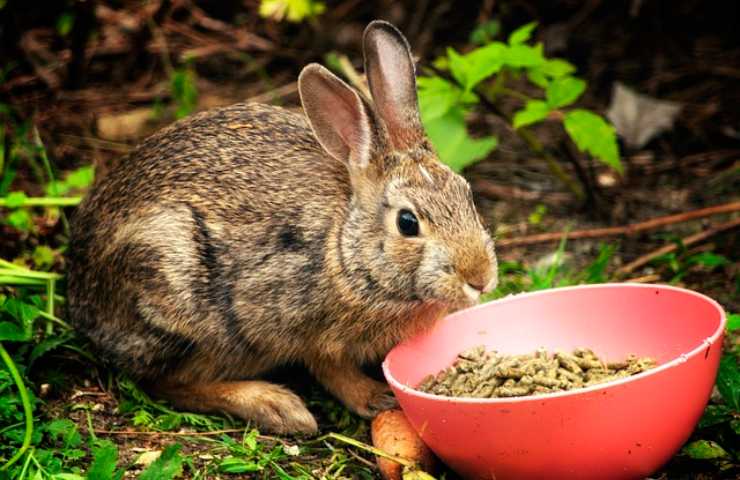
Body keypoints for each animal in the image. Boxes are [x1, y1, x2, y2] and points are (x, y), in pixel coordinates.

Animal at [68, 20, 498, 436]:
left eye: (467, 194)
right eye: (408, 223)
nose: (481, 279)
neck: (345, 249)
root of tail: (81, 301)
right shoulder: (295, 322)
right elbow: (330, 369)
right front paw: (375, 397)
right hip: (176, 293)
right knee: (165, 383)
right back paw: (275, 407)